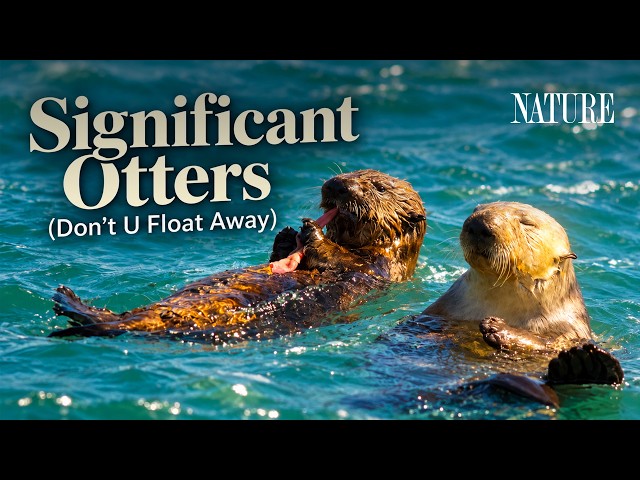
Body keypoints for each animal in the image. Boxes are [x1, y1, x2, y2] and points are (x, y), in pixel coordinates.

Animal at [49, 169, 427, 343]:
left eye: (378, 187)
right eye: (346, 173)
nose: (335, 185)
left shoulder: (376, 267)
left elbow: (342, 259)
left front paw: (312, 232)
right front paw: (286, 236)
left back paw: (70, 304)